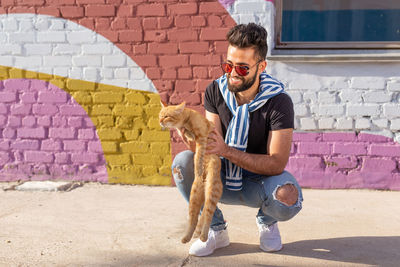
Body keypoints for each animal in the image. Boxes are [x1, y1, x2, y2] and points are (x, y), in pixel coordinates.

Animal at [159, 101, 222, 244]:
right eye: (160, 115)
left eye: (166, 116)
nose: (160, 121)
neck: (187, 120)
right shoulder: (187, 131)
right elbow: (187, 133)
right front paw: (189, 134)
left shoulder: (203, 136)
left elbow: (199, 154)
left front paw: (198, 167)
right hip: (194, 197)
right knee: (194, 219)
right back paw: (187, 237)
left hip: (212, 191)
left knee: (208, 215)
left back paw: (203, 236)